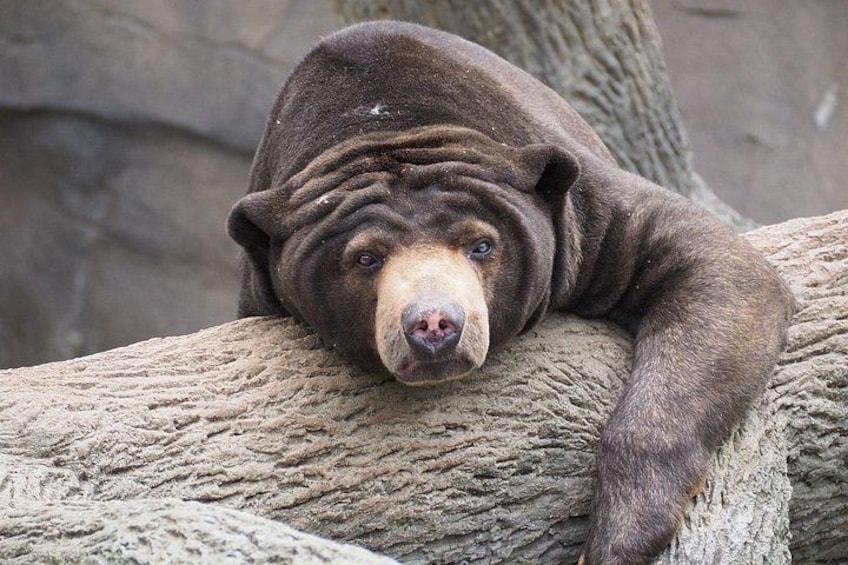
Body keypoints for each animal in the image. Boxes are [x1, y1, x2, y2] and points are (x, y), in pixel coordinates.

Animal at [227, 21, 795, 565]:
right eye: (366, 259)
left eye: (481, 245)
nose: (434, 325)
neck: (383, 122)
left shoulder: (583, 212)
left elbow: (720, 267)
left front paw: (615, 539)